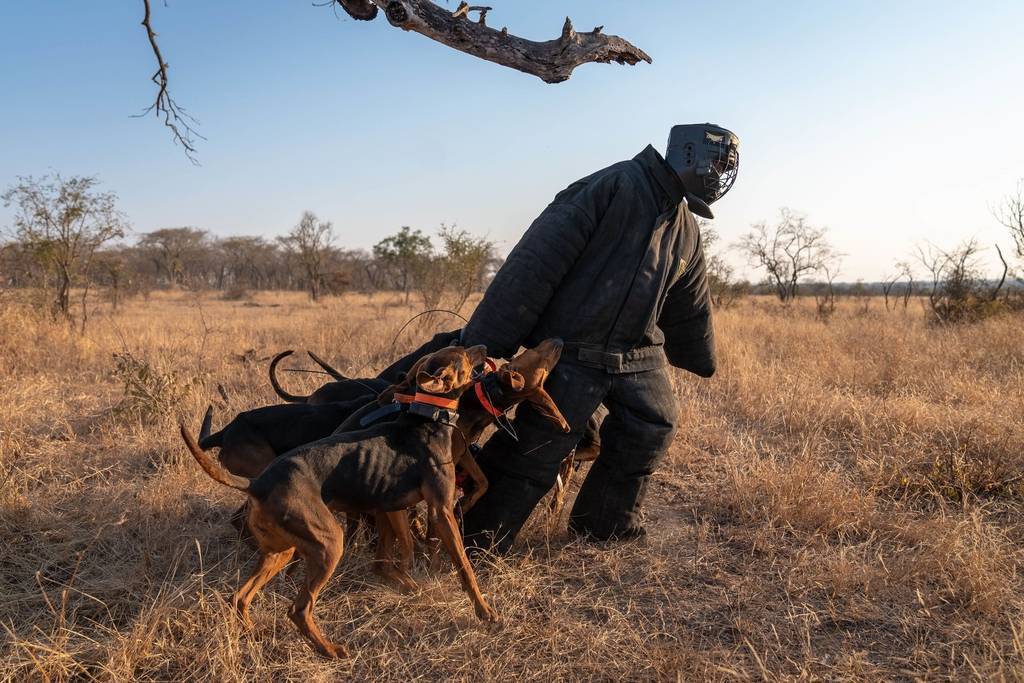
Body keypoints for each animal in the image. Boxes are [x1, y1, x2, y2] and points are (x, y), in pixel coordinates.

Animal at [185, 344, 495, 659]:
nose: (483, 347)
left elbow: (389, 558)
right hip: (330, 543)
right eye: (463, 354)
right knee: (299, 609)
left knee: (239, 597)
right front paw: (484, 611)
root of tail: (257, 484)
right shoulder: (441, 511)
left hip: (280, 551)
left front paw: (411, 586)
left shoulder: (388, 508)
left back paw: (255, 632)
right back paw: (330, 650)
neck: (426, 420)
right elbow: (464, 567)